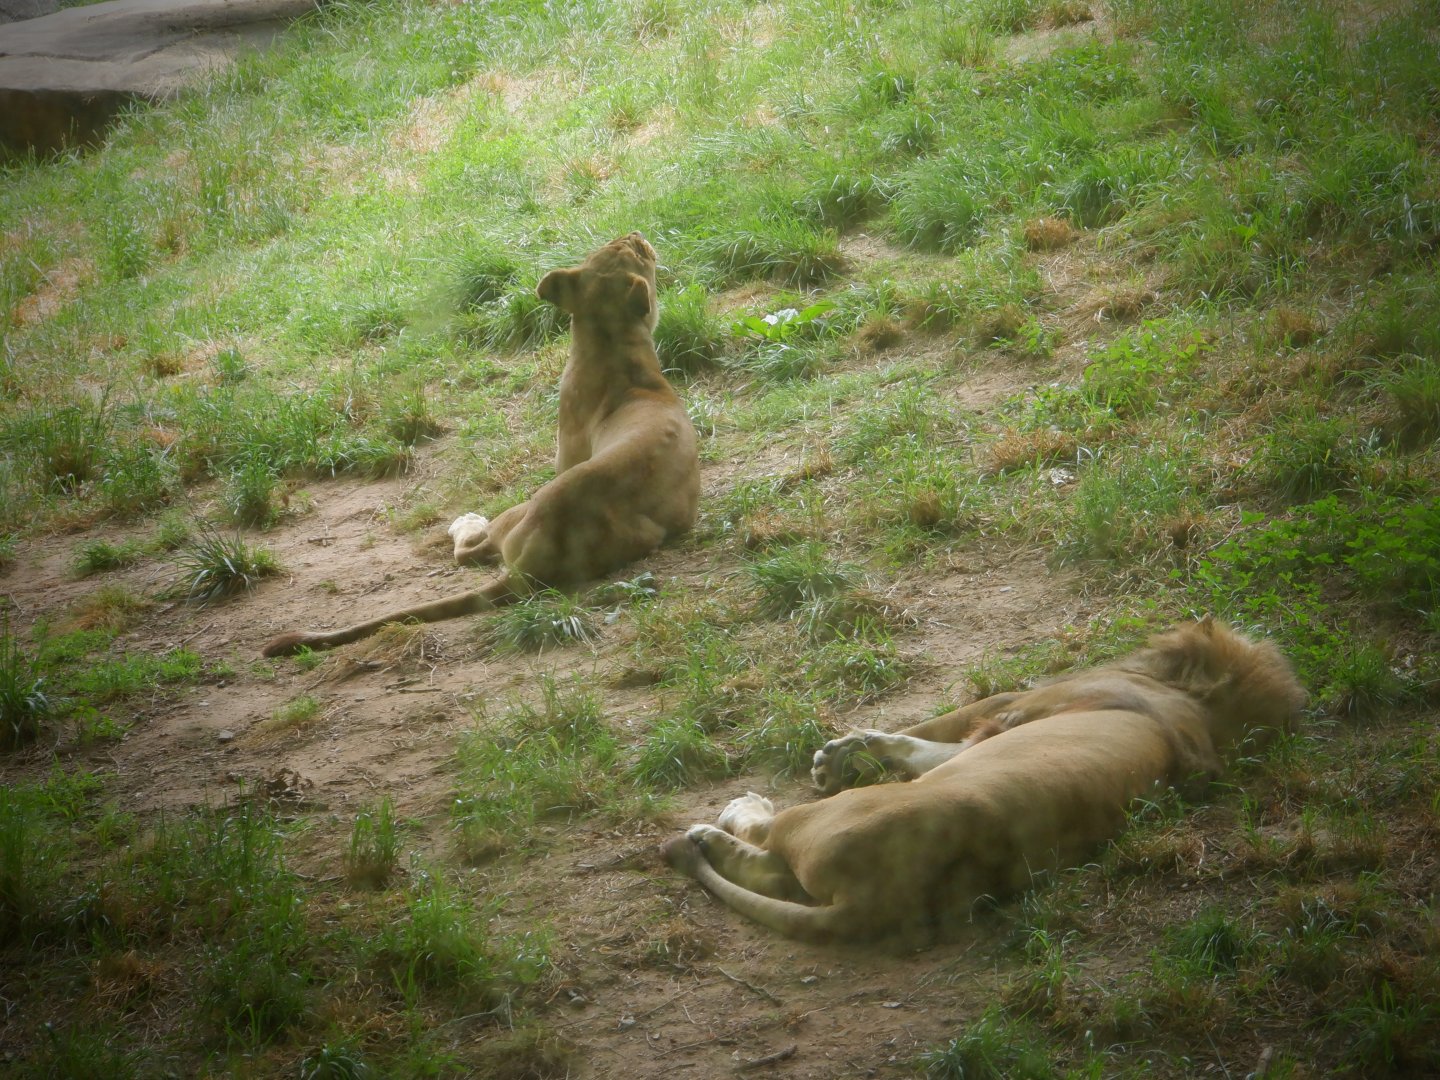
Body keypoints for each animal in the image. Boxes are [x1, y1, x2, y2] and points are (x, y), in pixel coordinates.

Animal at [262, 233, 698, 657]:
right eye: (627, 249)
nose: (636, 233)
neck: (612, 345)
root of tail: (529, 564)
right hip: (524, 511)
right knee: (470, 551)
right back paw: (466, 521)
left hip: (520, 511)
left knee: (470, 550)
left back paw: (466, 521)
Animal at [663, 617, 1305, 943]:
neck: (1200, 711)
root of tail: (880, 898)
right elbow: (924, 744)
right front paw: (847, 752)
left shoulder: (1011, 703)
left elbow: (924, 731)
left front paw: (836, 754)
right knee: (775, 874)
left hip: (828, 818)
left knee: (766, 846)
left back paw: (721, 823)